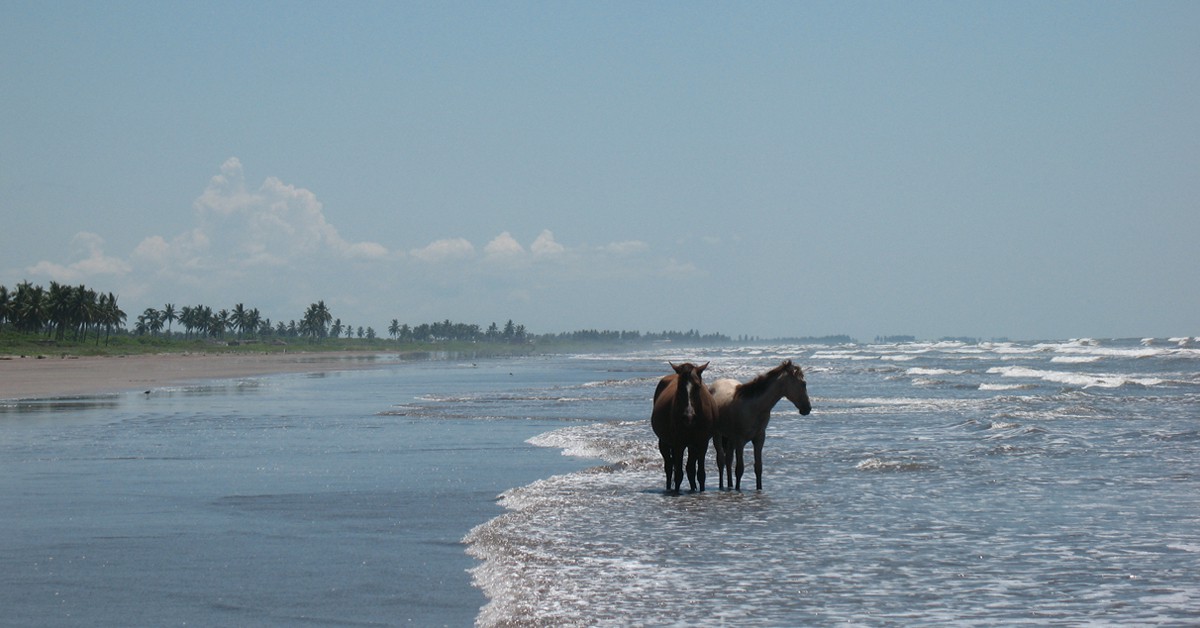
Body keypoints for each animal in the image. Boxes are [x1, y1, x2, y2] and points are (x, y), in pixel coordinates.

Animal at [651, 361, 717, 493]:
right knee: (669, 467)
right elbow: (678, 474)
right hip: (664, 443)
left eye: (697, 386)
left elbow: (700, 474)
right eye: (680, 387)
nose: (688, 417)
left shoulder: (702, 444)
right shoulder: (678, 444)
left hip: (692, 446)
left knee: (690, 468)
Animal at [710, 359, 812, 490]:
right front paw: (738, 489)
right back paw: (722, 486)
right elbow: (739, 469)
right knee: (721, 461)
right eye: (803, 384)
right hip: (717, 435)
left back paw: (730, 486)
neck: (755, 407)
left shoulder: (759, 438)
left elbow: (758, 467)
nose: (807, 408)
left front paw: (759, 489)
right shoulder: (740, 441)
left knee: (728, 460)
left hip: (730, 438)